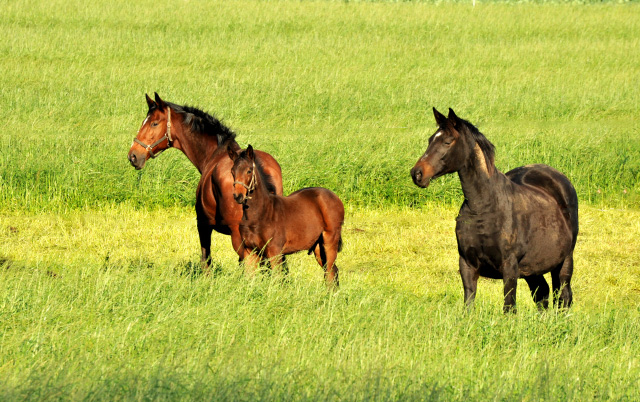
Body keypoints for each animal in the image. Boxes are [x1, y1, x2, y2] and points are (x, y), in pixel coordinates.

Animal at [226, 144, 342, 286]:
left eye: (249, 171)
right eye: (232, 171)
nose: (238, 196)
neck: (260, 214)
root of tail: (334, 197)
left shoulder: (274, 252)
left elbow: (276, 279)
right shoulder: (249, 251)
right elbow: (249, 279)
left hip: (330, 241)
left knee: (330, 271)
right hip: (318, 247)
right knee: (331, 271)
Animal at [410, 108, 580, 312]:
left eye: (447, 141)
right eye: (430, 140)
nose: (417, 174)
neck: (484, 208)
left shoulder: (509, 267)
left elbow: (509, 307)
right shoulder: (467, 264)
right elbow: (469, 305)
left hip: (564, 261)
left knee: (564, 295)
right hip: (532, 267)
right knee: (542, 293)